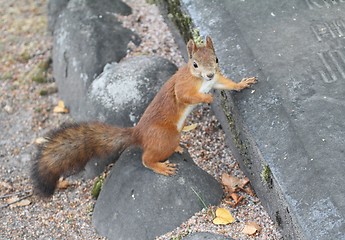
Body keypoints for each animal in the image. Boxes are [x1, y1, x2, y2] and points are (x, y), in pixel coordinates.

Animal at [31, 36, 255, 197]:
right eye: (195, 64)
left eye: (216, 59)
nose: (209, 74)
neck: (201, 81)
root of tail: (138, 133)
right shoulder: (182, 87)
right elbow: (186, 96)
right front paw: (206, 98)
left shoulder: (216, 80)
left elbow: (227, 84)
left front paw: (242, 83)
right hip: (166, 136)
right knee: (146, 158)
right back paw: (160, 166)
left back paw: (177, 149)